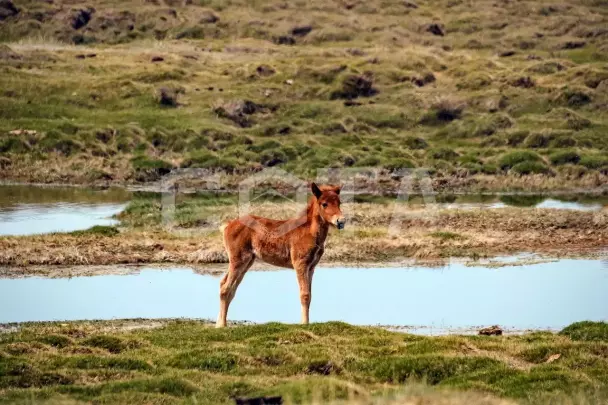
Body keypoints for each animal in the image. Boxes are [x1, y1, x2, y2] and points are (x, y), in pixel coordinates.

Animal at [216, 182, 344, 326]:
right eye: (324, 204)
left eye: (339, 203)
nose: (341, 221)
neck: (309, 232)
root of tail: (227, 226)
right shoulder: (300, 264)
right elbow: (304, 295)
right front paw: (304, 324)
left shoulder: (311, 267)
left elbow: (310, 295)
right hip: (238, 259)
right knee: (226, 288)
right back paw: (222, 325)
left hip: (246, 262)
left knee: (227, 287)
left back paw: (218, 324)